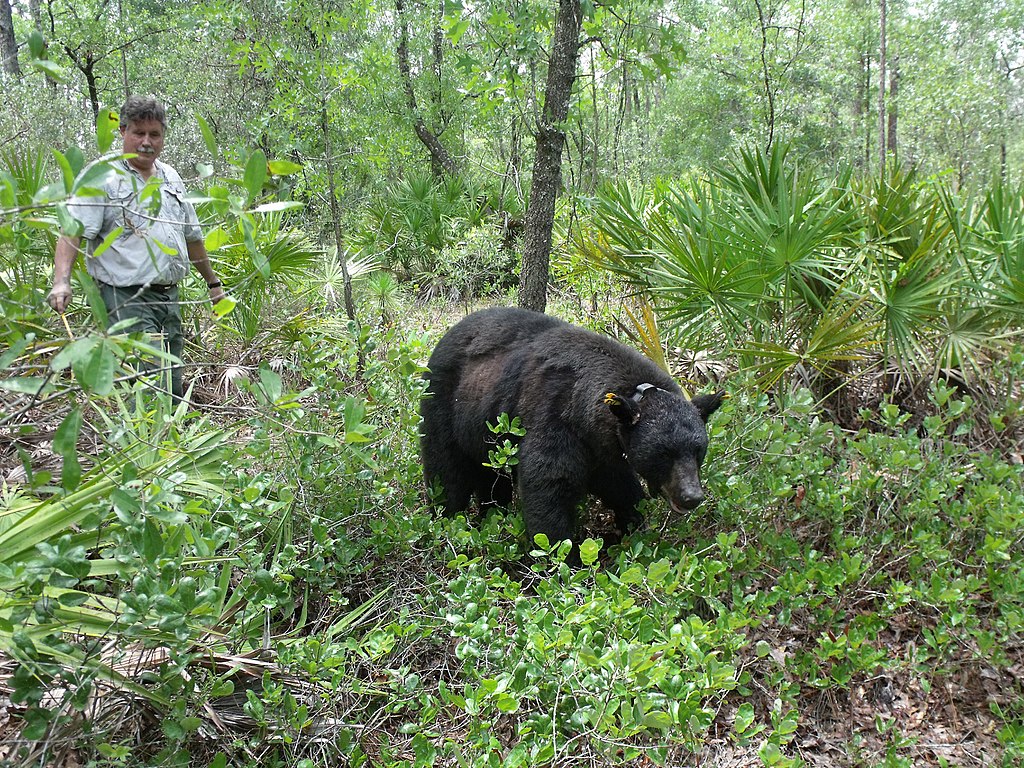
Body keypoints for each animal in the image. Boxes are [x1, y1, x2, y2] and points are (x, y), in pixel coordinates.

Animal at [419, 306, 725, 556]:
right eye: (664, 453)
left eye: (698, 450)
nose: (691, 496)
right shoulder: (556, 414)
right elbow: (549, 485)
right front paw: (566, 558)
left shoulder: (603, 446)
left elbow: (619, 485)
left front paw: (632, 525)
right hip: (443, 404)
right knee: (447, 472)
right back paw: (447, 520)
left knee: (492, 479)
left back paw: (491, 515)